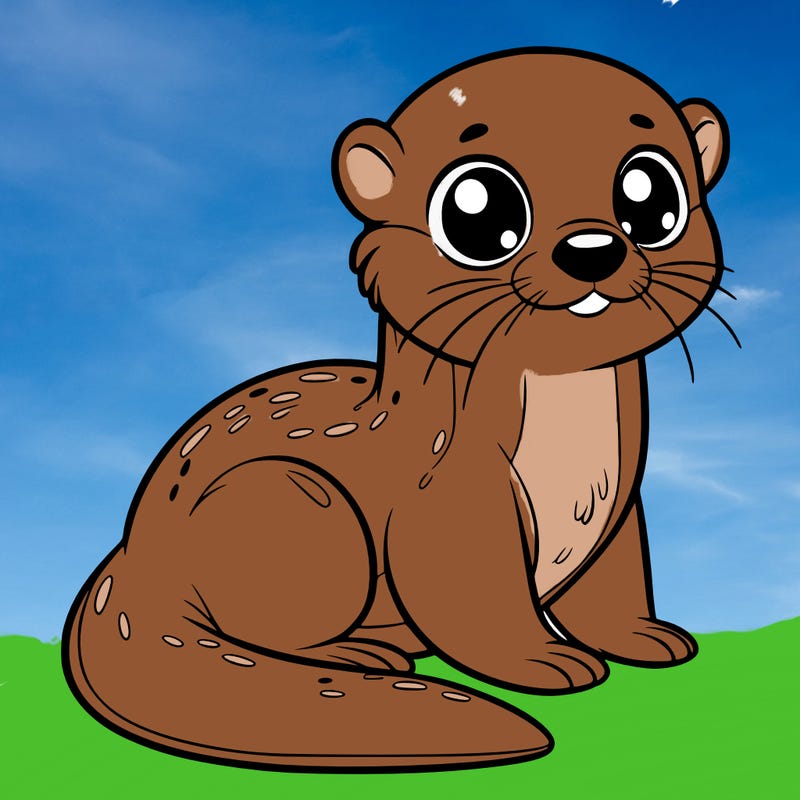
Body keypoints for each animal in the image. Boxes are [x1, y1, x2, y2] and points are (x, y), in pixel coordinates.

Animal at [62, 48, 729, 771]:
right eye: (477, 208)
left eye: (651, 195)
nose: (592, 251)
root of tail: (133, 556)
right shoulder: (450, 495)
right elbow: (475, 600)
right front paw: (542, 661)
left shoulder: (618, 504)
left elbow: (612, 584)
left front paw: (643, 636)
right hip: (294, 501)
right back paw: (360, 652)